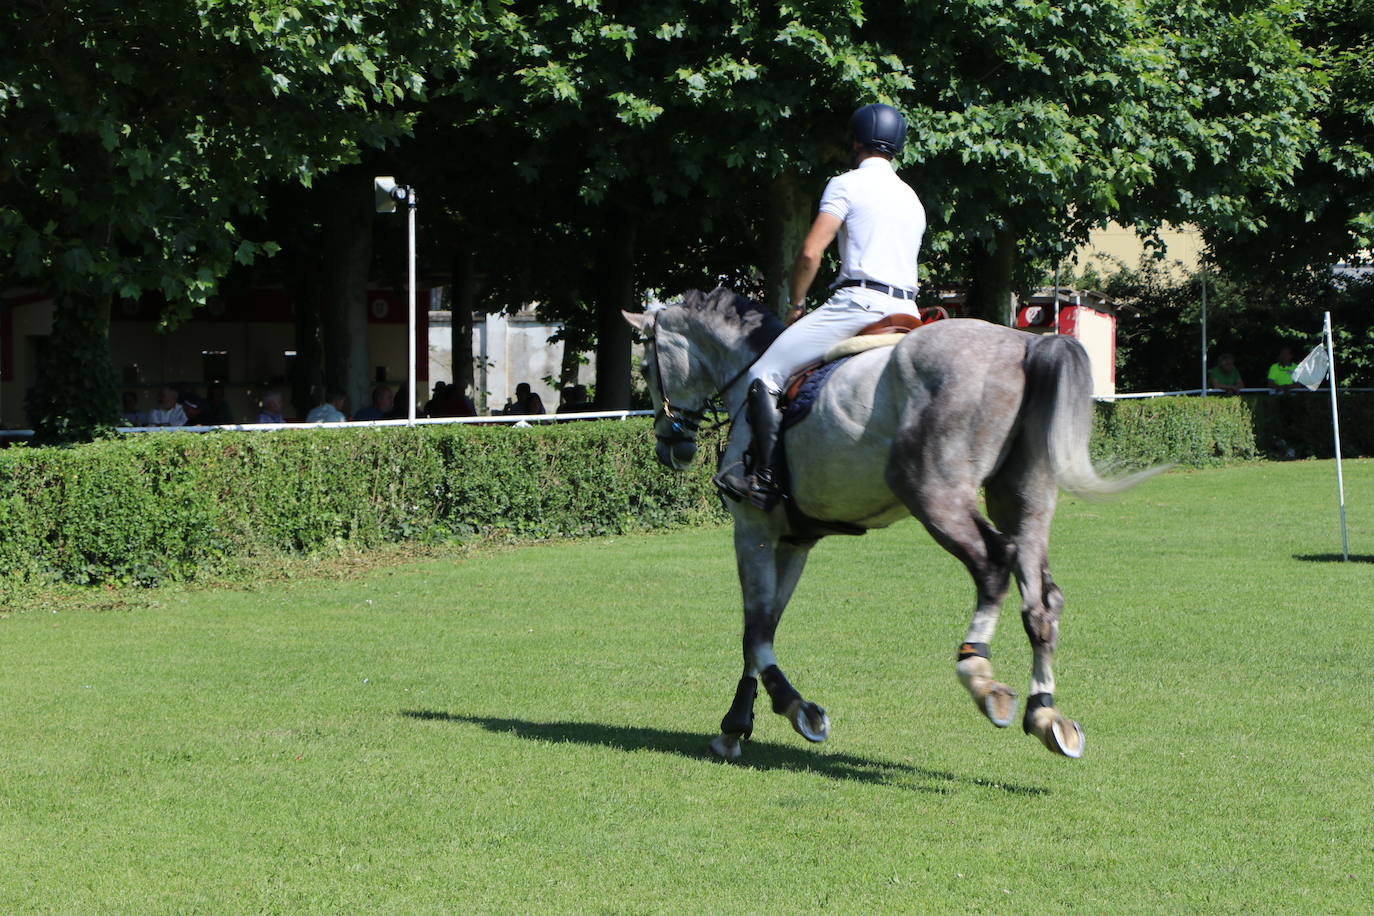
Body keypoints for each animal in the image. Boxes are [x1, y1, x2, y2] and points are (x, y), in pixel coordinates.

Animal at [623, 289, 1148, 763]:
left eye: (647, 368)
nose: (671, 446)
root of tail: (1025, 345)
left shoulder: (753, 531)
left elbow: (753, 631)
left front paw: (790, 710)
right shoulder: (794, 541)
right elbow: (765, 626)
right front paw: (738, 726)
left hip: (933, 493)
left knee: (994, 562)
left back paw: (979, 674)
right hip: (1021, 499)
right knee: (1042, 599)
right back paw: (1045, 714)